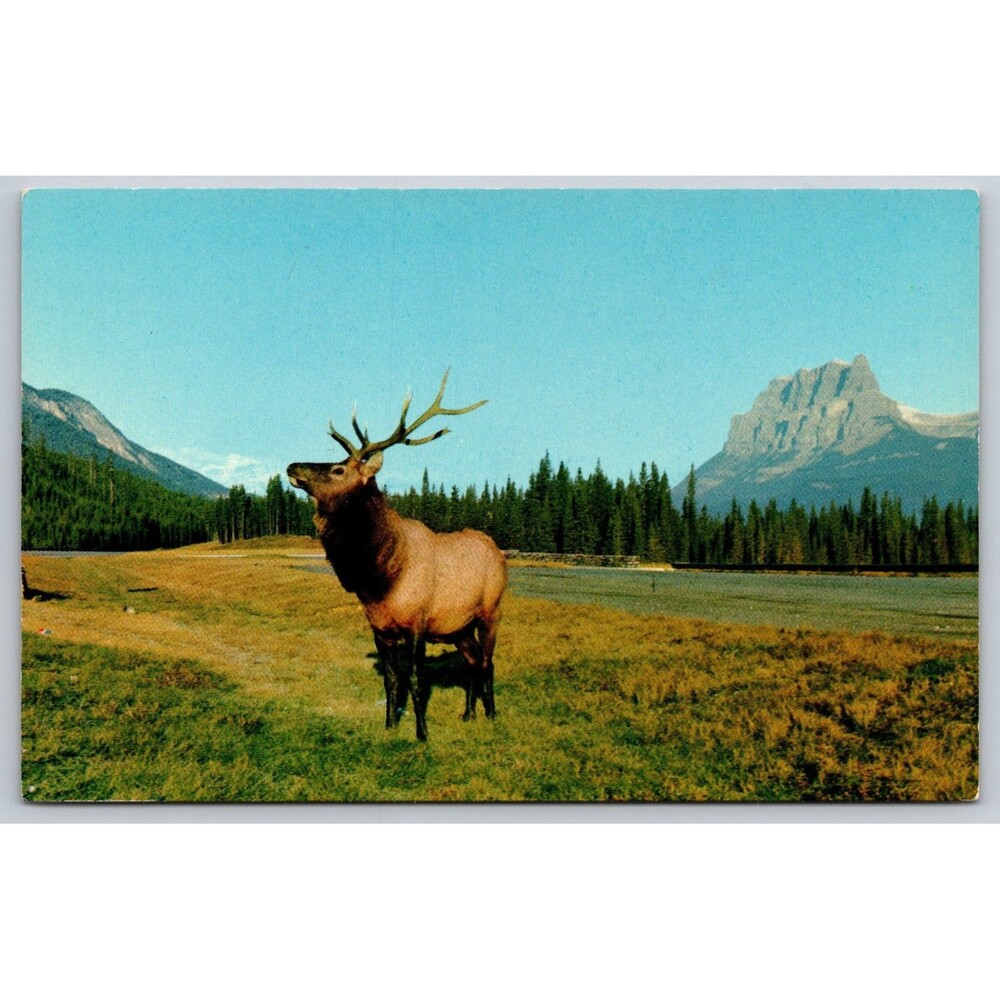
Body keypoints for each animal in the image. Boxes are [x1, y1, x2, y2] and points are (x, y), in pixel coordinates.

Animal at [287, 370, 508, 742]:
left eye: (338, 470)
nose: (292, 465)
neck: (380, 578)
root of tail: (499, 552)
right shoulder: (380, 628)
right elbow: (391, 681)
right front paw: (389, 725)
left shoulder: (417, 623)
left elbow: (417, 680)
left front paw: (422, 734)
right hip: (459, 627)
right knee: (473, 661)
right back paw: (468, 713)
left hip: (491, 611)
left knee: (489, 661)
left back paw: (491, 713)